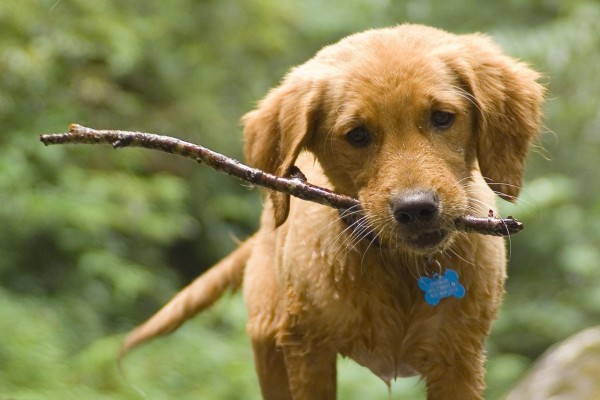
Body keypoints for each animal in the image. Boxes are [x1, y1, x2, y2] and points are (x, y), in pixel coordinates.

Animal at [120, 25, 544, 400]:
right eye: (357, 135)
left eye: (442, 117)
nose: (416, 209)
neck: (402, 267)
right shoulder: (306, 350)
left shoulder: (460, 360)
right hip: (267, 338)